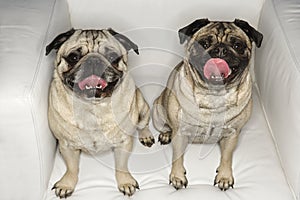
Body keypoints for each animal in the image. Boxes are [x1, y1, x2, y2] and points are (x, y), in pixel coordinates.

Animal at [47, 28, 156, 198]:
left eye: (112, 57)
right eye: (73, 57)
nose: (93, 60)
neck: (93, 107)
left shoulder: (123, 143)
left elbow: (121, 166)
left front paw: (125, 182)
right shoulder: (67, 146)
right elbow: (72, 168)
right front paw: (67, 184)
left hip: (142, 108)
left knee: (142, 125)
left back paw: (146, 135)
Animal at [152, 19, 262, 191]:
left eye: (237, 45)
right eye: (203, 44)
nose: (221, 50)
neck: (214, 94)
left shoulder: (232, 134)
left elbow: (227, 157)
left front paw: (224, 177)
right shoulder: (180, 133)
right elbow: (177, 157)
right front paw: (177, 176)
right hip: (158, 112)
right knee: (165, 126)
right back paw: (165, 133)